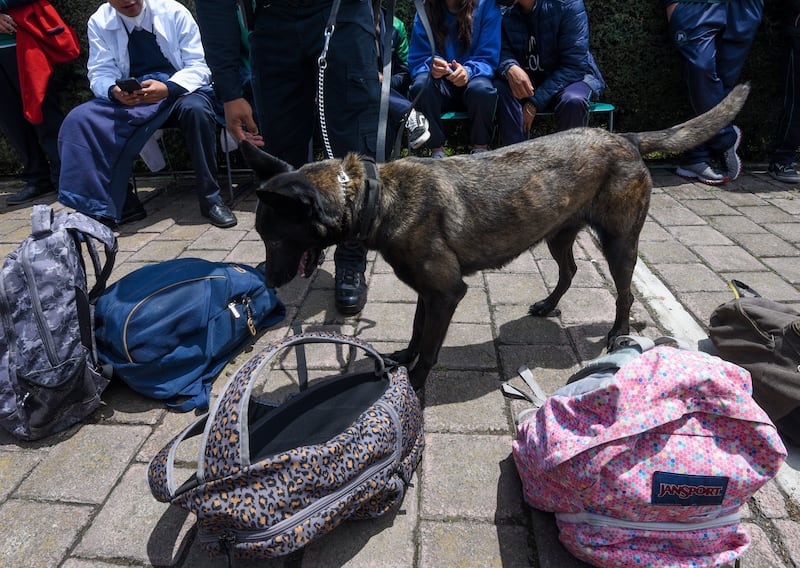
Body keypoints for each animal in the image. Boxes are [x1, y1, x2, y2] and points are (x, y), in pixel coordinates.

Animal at [242, 84, 752, 388]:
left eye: (275, 239)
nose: (267, 280)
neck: (373, 195)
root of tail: (624, 138)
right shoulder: (427, 292)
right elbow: (416, 332)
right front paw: (401, 359)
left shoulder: (447, 292)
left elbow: (430, 350)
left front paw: (416, 387)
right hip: (558, 234)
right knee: (568, 270)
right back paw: (549, 305)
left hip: (619, 242)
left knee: (623, 293)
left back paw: (616, 334)